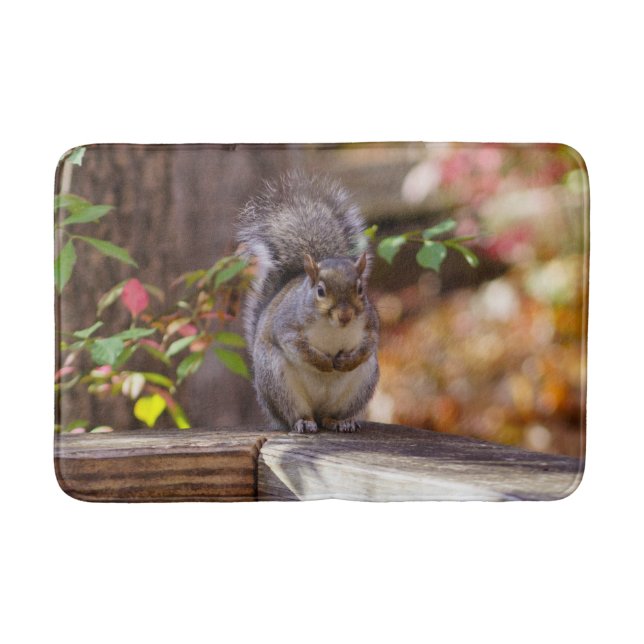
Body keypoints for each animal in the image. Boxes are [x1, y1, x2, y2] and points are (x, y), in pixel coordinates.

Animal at [236, 172, 379, 433]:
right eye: (320, 291)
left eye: (360, 289)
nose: (345, 315)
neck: (333, 327)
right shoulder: (286, 325)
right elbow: (297, 345)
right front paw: (324, 362)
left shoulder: (371, 324)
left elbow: (369, 345)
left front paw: (346, 361)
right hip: (278, 382)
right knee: (296, 414)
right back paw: (303, 422)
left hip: (361, 384)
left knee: (330, 416)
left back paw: (340, 421)